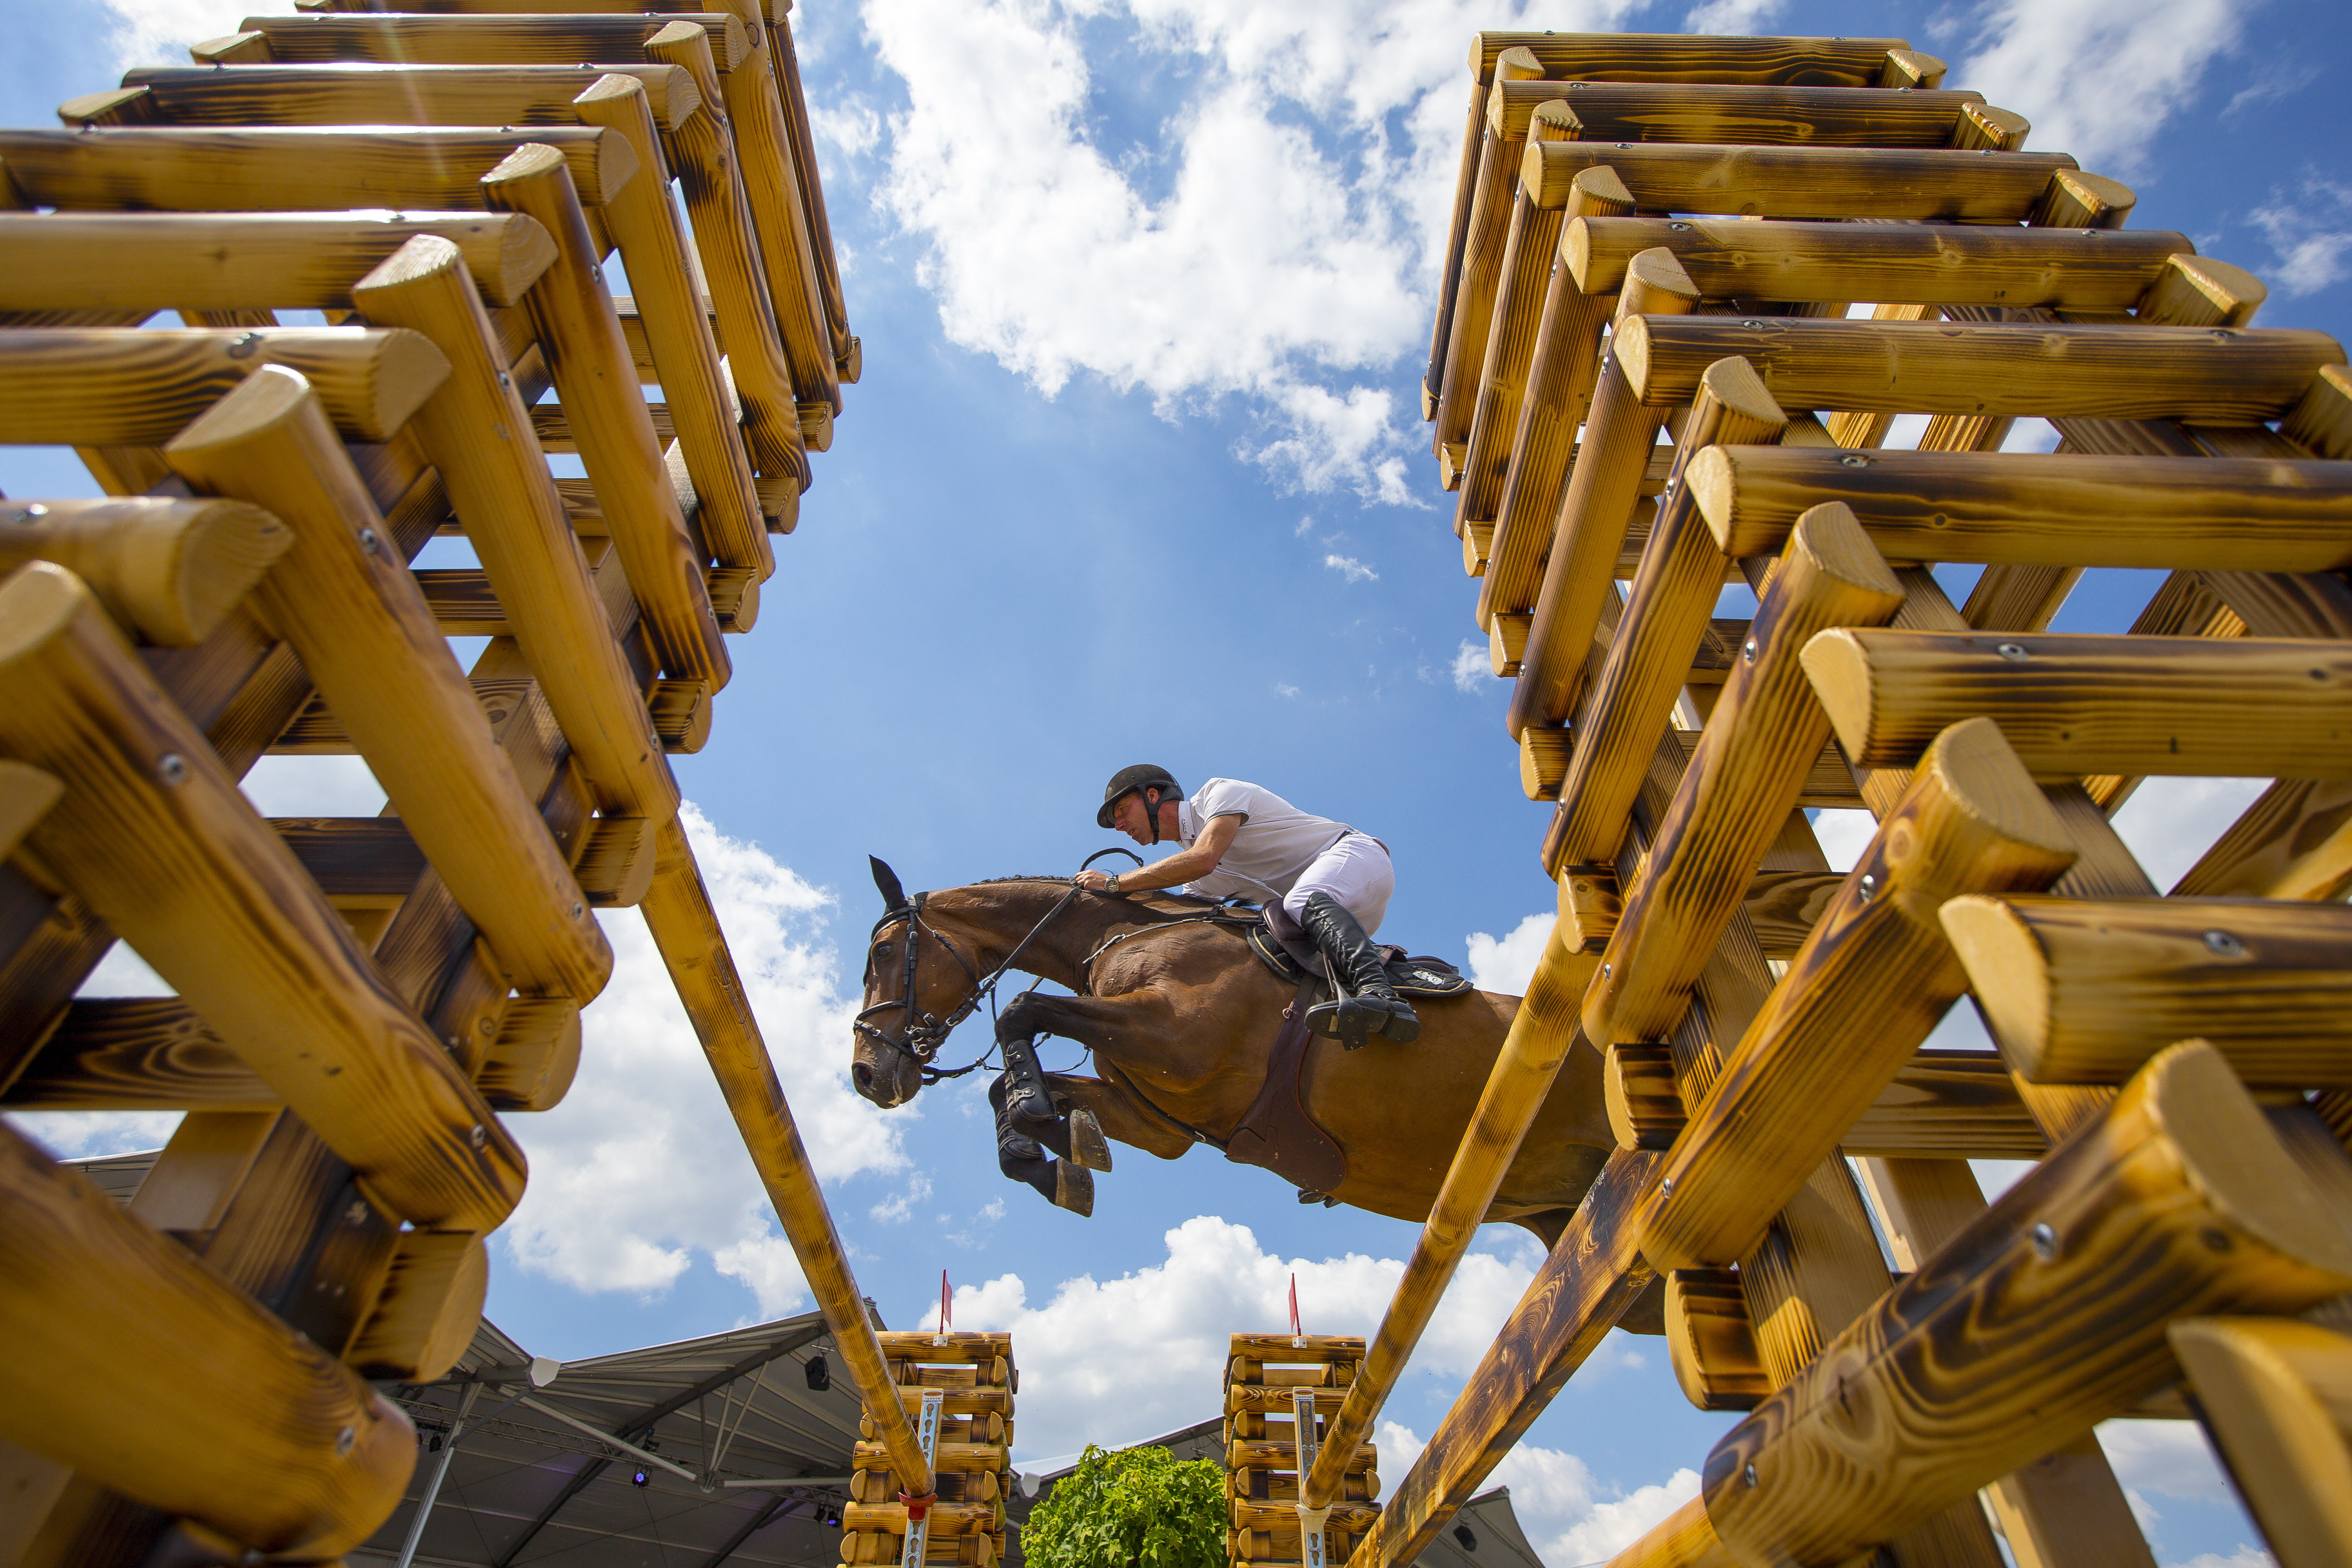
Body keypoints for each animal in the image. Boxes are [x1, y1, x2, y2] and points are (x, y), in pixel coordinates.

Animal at [851, 870, 1637, 1250]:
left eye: (884, 953)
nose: (866, 1076)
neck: (1116, 939)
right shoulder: (1156, 1116)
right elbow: (1026, 1101)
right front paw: (1055, 1157)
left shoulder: (1175, 1038)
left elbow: (1020, 1010)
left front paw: (1043, 1122)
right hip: (1567, 1214)